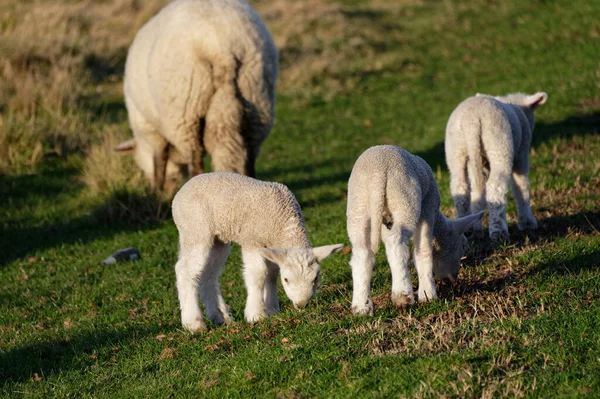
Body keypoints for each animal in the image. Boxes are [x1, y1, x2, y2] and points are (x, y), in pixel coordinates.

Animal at [116, 0, 280, 190]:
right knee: (251, 155)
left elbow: (159, 159)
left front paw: (156, 190)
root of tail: (222, 49)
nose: (169, 189)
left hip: (186, 112)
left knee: (195, 162)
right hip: (257, 97)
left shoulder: (148, 127)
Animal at [171, 172, 344, 332]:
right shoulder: (252, 240)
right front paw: (256, 315)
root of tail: (180, 193)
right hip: (195, 230)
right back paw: (194, 324)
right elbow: (258, 274)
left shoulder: (272, 247)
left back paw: (222, 317)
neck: (283, 221)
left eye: (315, 278)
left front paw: (272, 309)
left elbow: (272, 274)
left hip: (218, 239)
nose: (301, 304)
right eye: (287, 280)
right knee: (184, 271)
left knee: (208, 274)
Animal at [346, 145, 482, 318]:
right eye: (463, 247)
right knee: (396, 243)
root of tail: (377, 175)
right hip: (405, 200)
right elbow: (423, 250)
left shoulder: (386, 224)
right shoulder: (428, 208)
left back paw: (361, 307)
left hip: (358, 209)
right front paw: (428, 294)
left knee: (362, 253)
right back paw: (402, 296)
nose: (452, 279)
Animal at [446, 91, 548, 242]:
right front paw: (527, 223)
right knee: (495, 187)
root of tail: (471, 120)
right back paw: (499, 233)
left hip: (456, 149)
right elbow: (521, 187)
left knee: (460, 188)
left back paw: (468, 230)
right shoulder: (522, 153)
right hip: (499, 143)